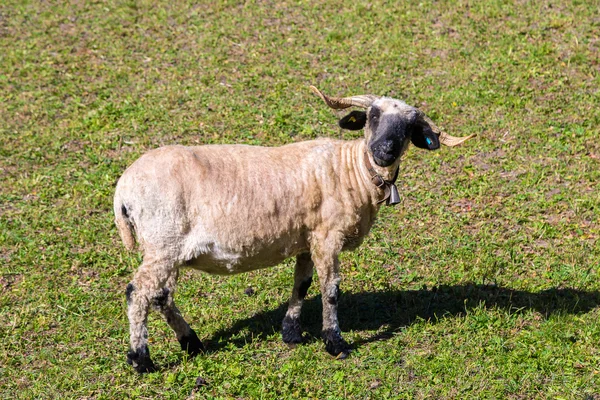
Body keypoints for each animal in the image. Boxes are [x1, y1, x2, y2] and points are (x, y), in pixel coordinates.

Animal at [115, 86, 476, 372]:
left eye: (408, 127)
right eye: (372, 116)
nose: (384, 151)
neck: (353, 170)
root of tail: (123, 190)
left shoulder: (307, 237)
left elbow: (301, 284)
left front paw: (290, 333)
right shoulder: (328, 236)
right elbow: (330, 291)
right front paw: (335, 343)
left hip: (167, 249)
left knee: (160, 296)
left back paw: (192, 343)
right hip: (163, 242)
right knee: (138, 293)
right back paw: (141, 360)